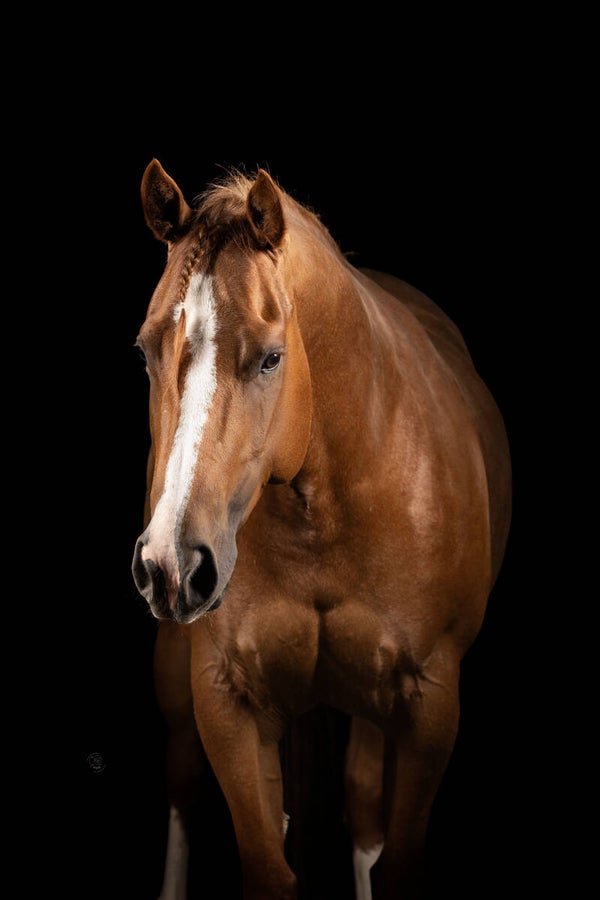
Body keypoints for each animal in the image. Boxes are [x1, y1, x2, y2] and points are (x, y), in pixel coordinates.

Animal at [132, 159, 512, 900]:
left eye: (271, 357)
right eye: (144, 352)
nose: (173, 565)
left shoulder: (429, 703)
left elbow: (392, 859)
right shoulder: (226, 700)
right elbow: (268, 866)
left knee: (361, 810)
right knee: (182, 784)